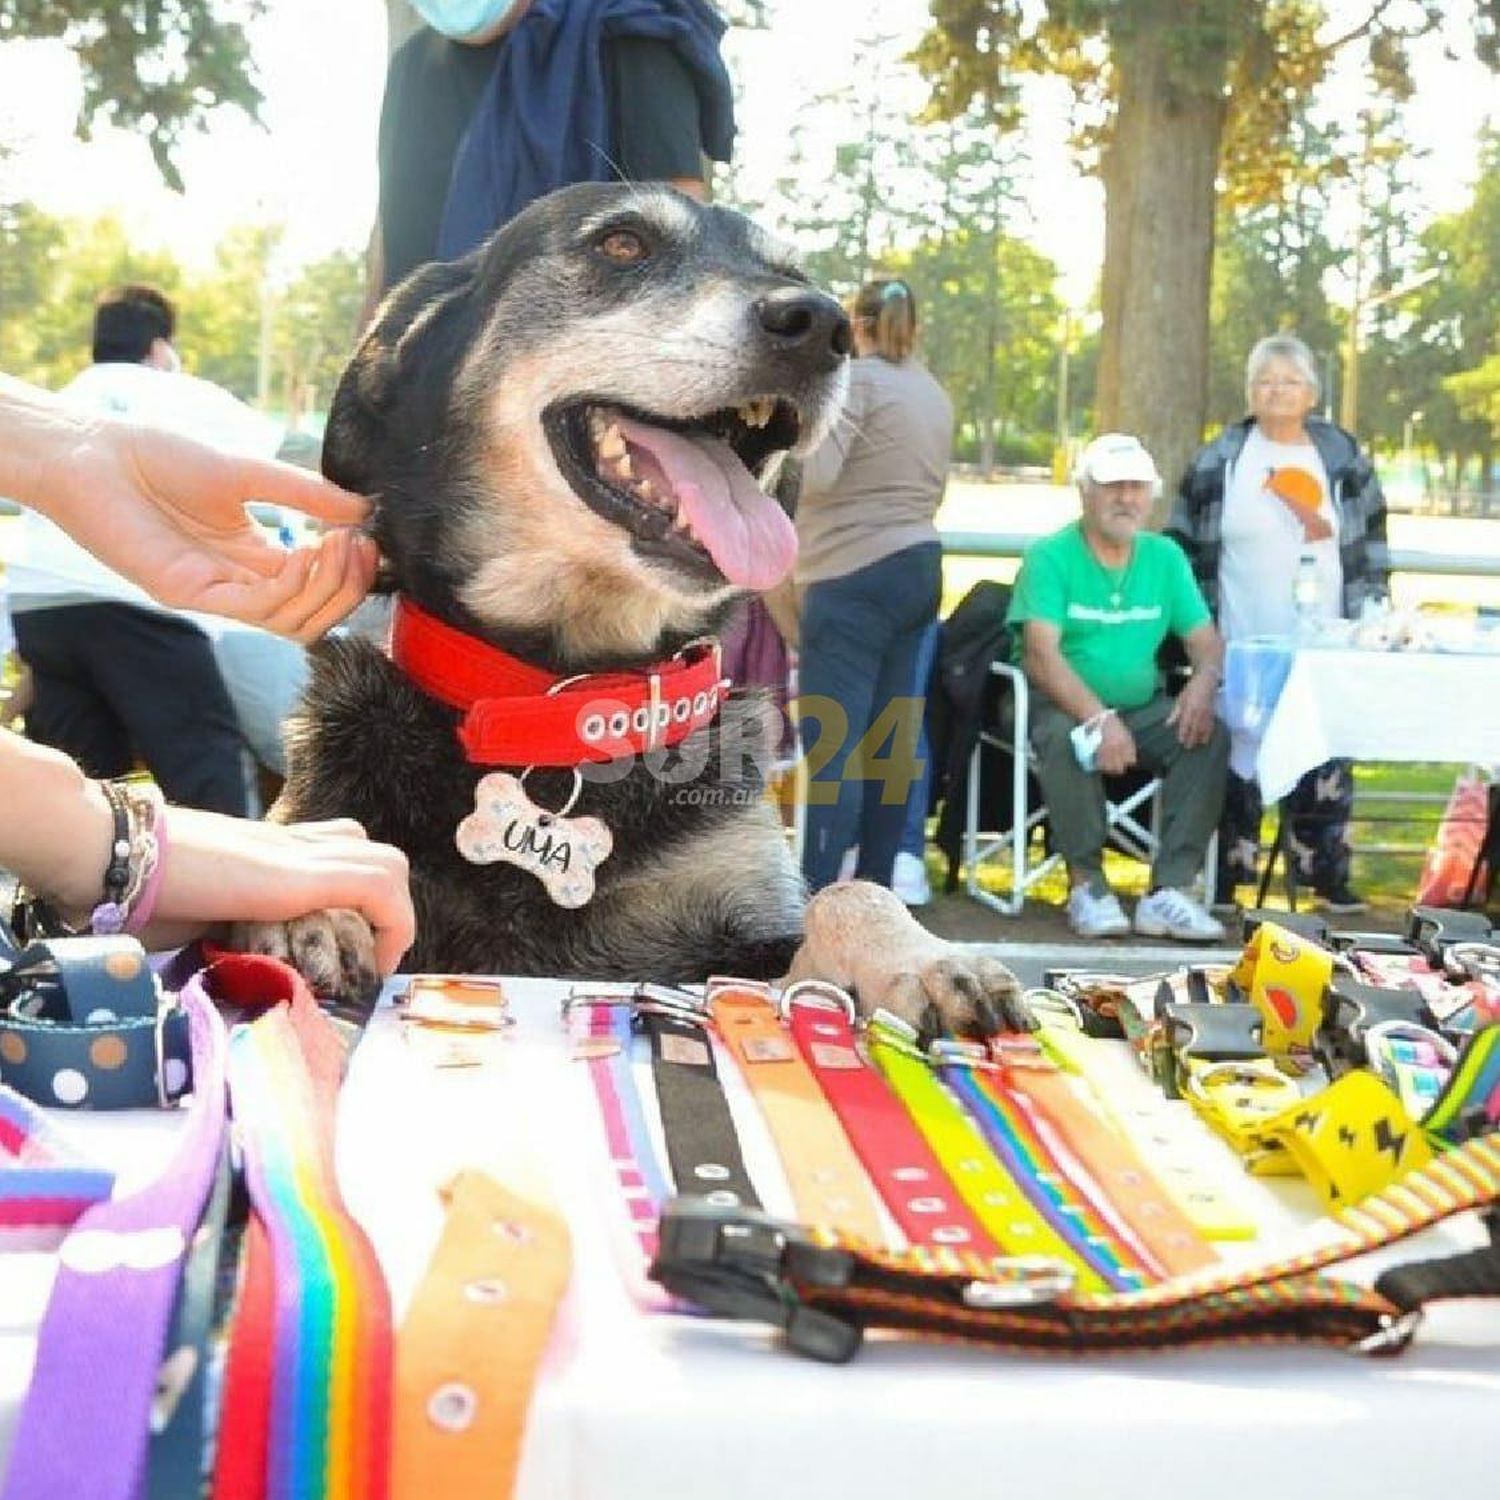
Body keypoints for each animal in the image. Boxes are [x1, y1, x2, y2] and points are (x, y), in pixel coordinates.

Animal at [252, 181, 1026, 1038]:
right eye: (622, 243)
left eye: (796, 274)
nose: (824, 325)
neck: (565, 700)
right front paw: (307, 900)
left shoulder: (732, 943)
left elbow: (850, 890)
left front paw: (926, 958)